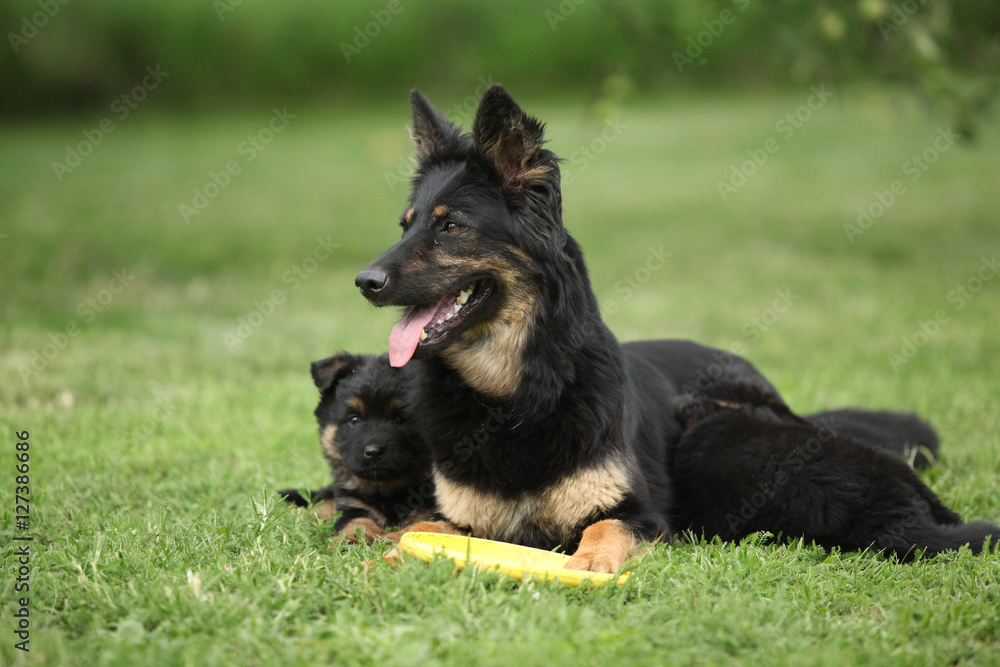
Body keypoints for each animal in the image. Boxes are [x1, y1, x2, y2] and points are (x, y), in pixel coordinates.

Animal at [282, 352, 438, 544]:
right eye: (354, 419)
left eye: (400, 419)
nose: (373, 452)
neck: (386, 491)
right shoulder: (353, 504)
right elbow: (358, 522)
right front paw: (348, 540)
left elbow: (417, 528)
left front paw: (389, 539)